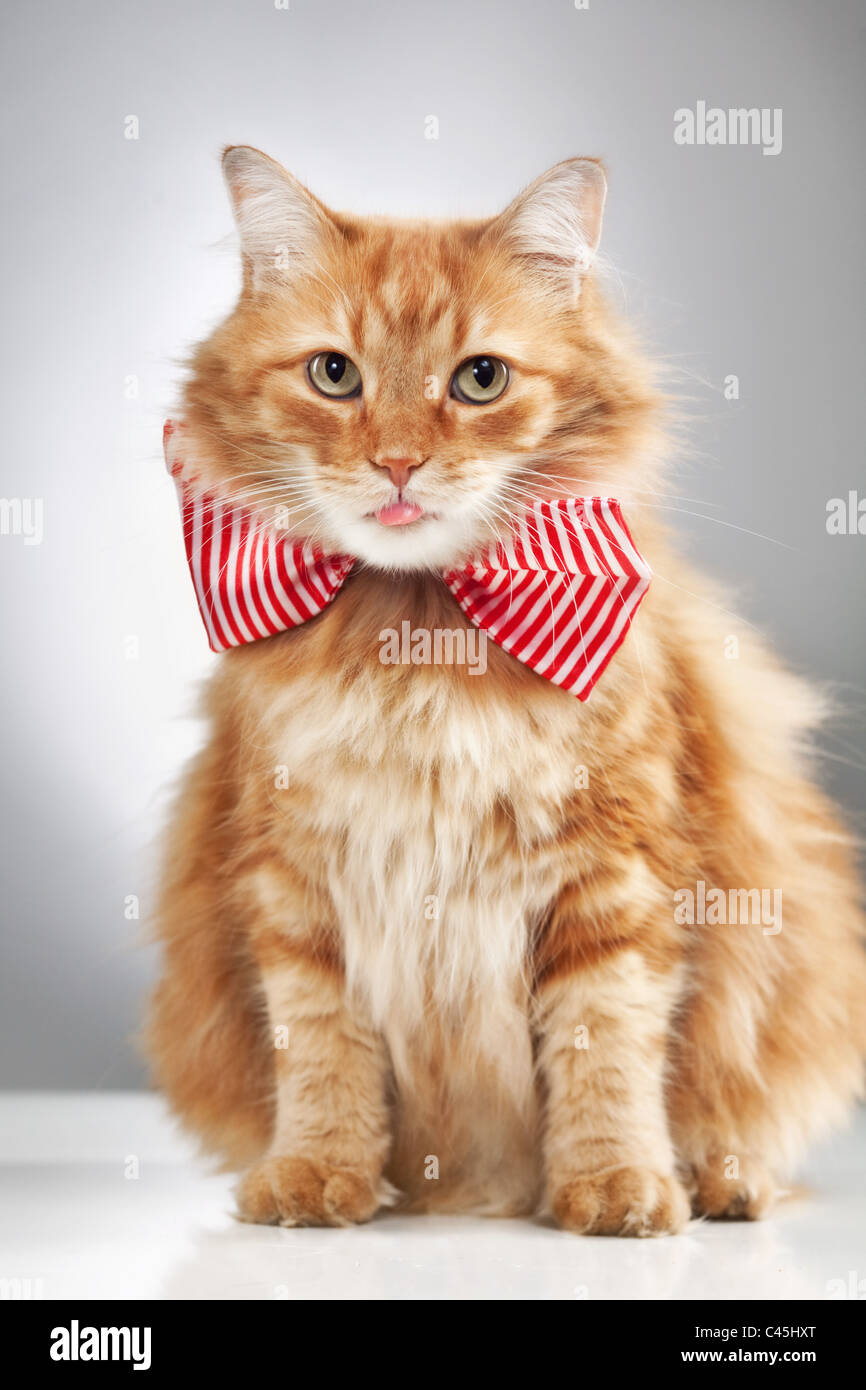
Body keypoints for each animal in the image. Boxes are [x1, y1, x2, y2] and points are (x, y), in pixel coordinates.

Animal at [145, 146, 861, 1234]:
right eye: (333, 375)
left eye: (478, 380)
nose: (398, 462)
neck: (417, 646)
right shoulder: (295, 883)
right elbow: (321, 1048)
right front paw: (316, 1177)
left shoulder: (614, 875)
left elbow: (605, 1046)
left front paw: (614, 1188)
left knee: (739, 1119)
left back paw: (719, 1180)